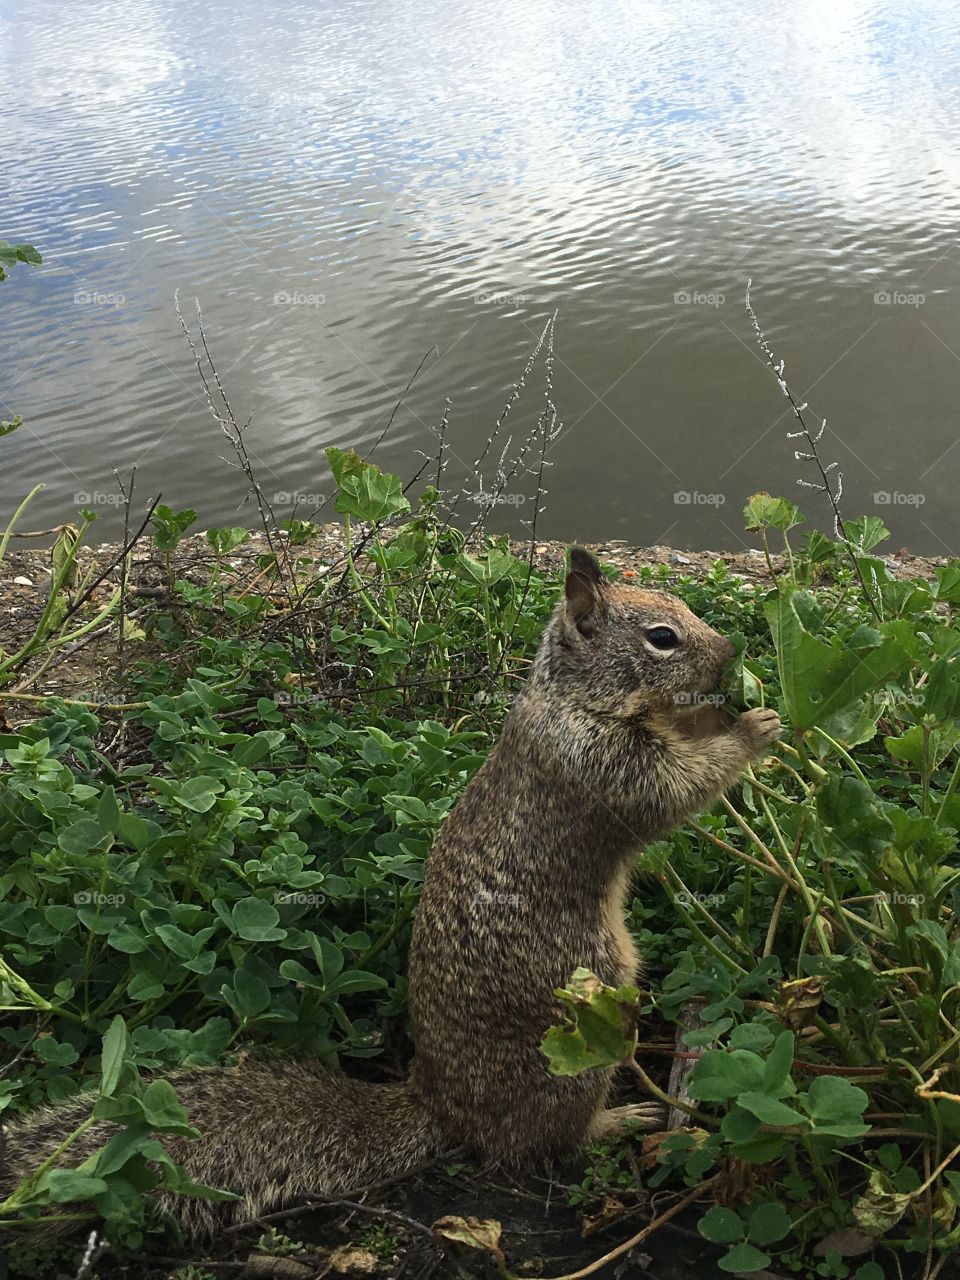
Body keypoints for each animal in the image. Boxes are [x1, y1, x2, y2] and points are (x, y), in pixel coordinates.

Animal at [0, 548, 780, 1239]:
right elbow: (674, 790)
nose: (731, 650)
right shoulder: (599, 764)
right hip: (582, 1031)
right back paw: (623, 1120)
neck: (576, 696)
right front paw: (753, 728)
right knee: (546, 1141)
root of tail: (442, 1106)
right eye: (662, 637)